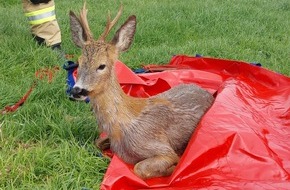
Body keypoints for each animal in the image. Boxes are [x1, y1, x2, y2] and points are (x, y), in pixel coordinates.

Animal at [69, 2, 214, 180]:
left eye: (101, 65)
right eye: (79, 62)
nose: (76, 90)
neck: (120, 127)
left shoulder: (161, 147)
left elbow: (139, 168)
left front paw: (173, 168)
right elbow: (96, 142)